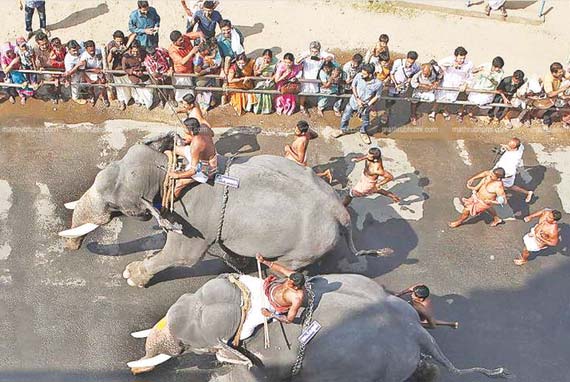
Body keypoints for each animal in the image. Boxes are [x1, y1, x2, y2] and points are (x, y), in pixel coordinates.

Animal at [58, 137, 386, 286]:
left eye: (113, 204)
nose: (71, 248)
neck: (168, 168)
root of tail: (340, 210)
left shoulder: (193, 218)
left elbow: (182, 255)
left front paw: (131, 275)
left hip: (307, 244)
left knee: (288, 265)